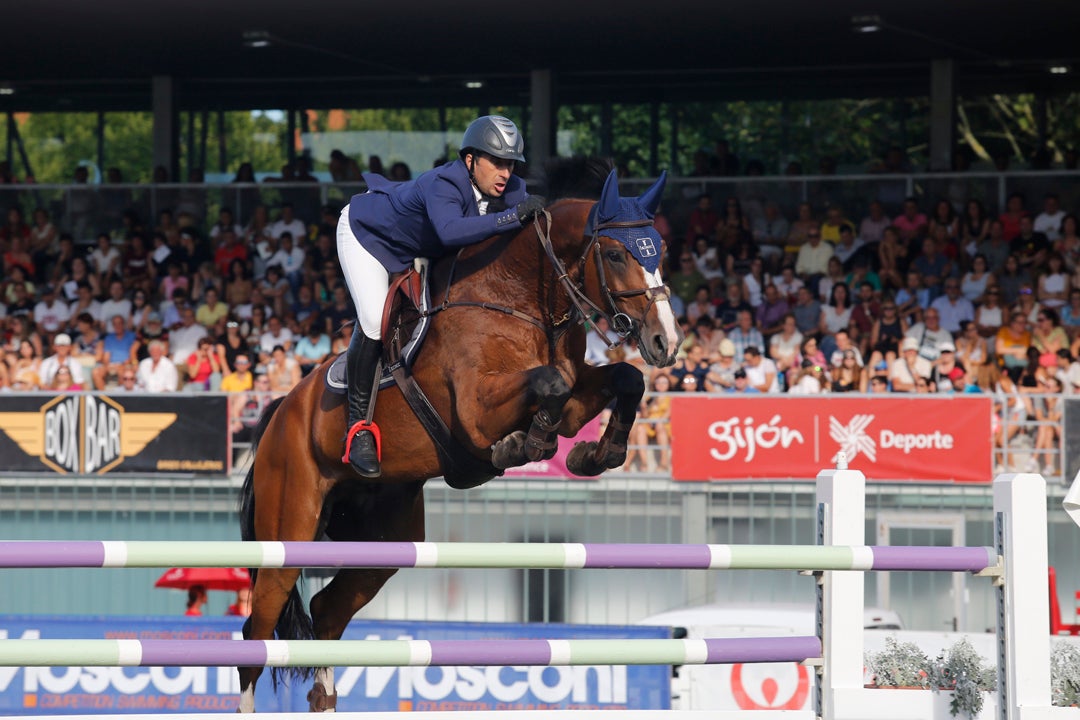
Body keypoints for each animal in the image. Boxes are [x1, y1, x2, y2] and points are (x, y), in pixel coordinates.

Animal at [236, 160, 678, 712]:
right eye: (616, 254)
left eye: (660, 251)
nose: (666, 342)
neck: (519, 298)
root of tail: (278, 416)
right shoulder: (475, 411)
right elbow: (547, 387)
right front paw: (524, 447)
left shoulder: (576, 399)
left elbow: (622, 380)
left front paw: (596, 455)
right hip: (288, 530)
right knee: (256, 634)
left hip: (384, 537)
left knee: (328, 609)